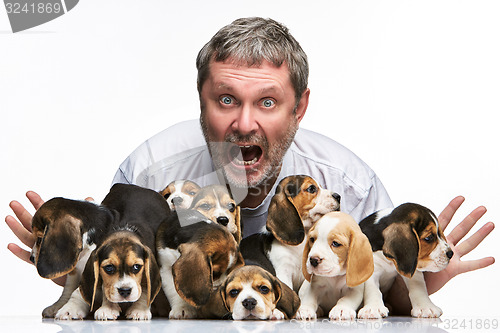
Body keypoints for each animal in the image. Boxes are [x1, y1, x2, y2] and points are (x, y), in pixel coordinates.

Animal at [54, 182, 168, 320]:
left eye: (136, 267)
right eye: (109, 268)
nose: (125, 291)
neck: (124, 230)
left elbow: (146, 286)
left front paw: (139, 310)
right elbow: (105, 286)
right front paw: (108, 308)